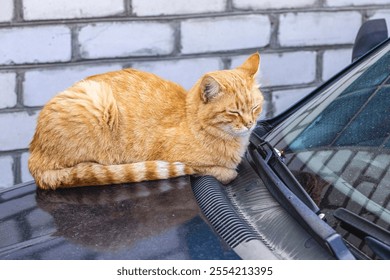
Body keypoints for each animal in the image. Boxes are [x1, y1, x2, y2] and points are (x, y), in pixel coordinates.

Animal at [29, 52, 264, 189]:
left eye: (255, 108)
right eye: (233, 112)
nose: (249, 124)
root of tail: (34, 155)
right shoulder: (183, 161)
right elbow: (218, 171)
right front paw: (227, 172)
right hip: (98, 104)